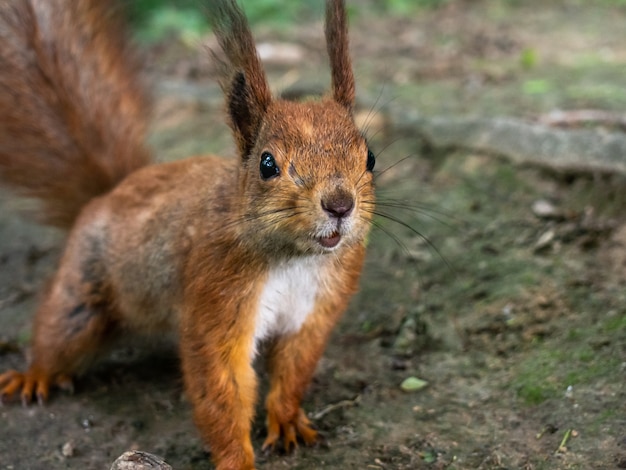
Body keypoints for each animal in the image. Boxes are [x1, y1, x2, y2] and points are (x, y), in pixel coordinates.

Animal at [0, 0, 372, 470]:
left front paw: (287, 420)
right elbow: (221, 381)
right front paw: (236, 460)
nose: (340, 205)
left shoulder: (316, 310)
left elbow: (293, 369)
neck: (295, 258)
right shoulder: (215, 292)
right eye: (267, 164)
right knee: (59, 332)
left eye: (370, 157)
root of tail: (110, 192)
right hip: (82, 289)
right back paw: (33, 375)